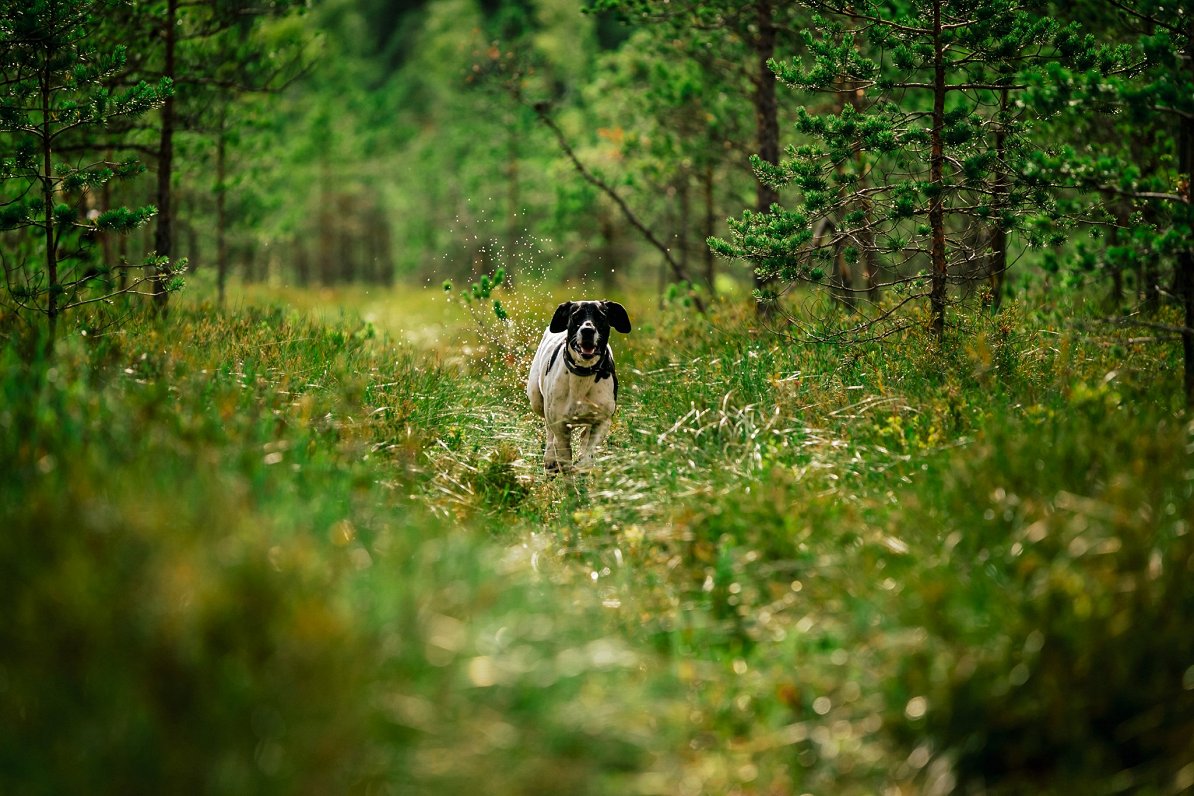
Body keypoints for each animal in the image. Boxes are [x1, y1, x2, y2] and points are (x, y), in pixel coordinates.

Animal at [525, 298, 630, 472]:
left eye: (601, 317)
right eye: (575, 316)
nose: (587, 330)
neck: (583, 374)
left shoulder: (602, 421)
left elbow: (588, 454)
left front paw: (583, 465)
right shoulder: (561, 428)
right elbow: (564, 459)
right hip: (536, 400)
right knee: (548, 429)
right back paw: (550, 458)